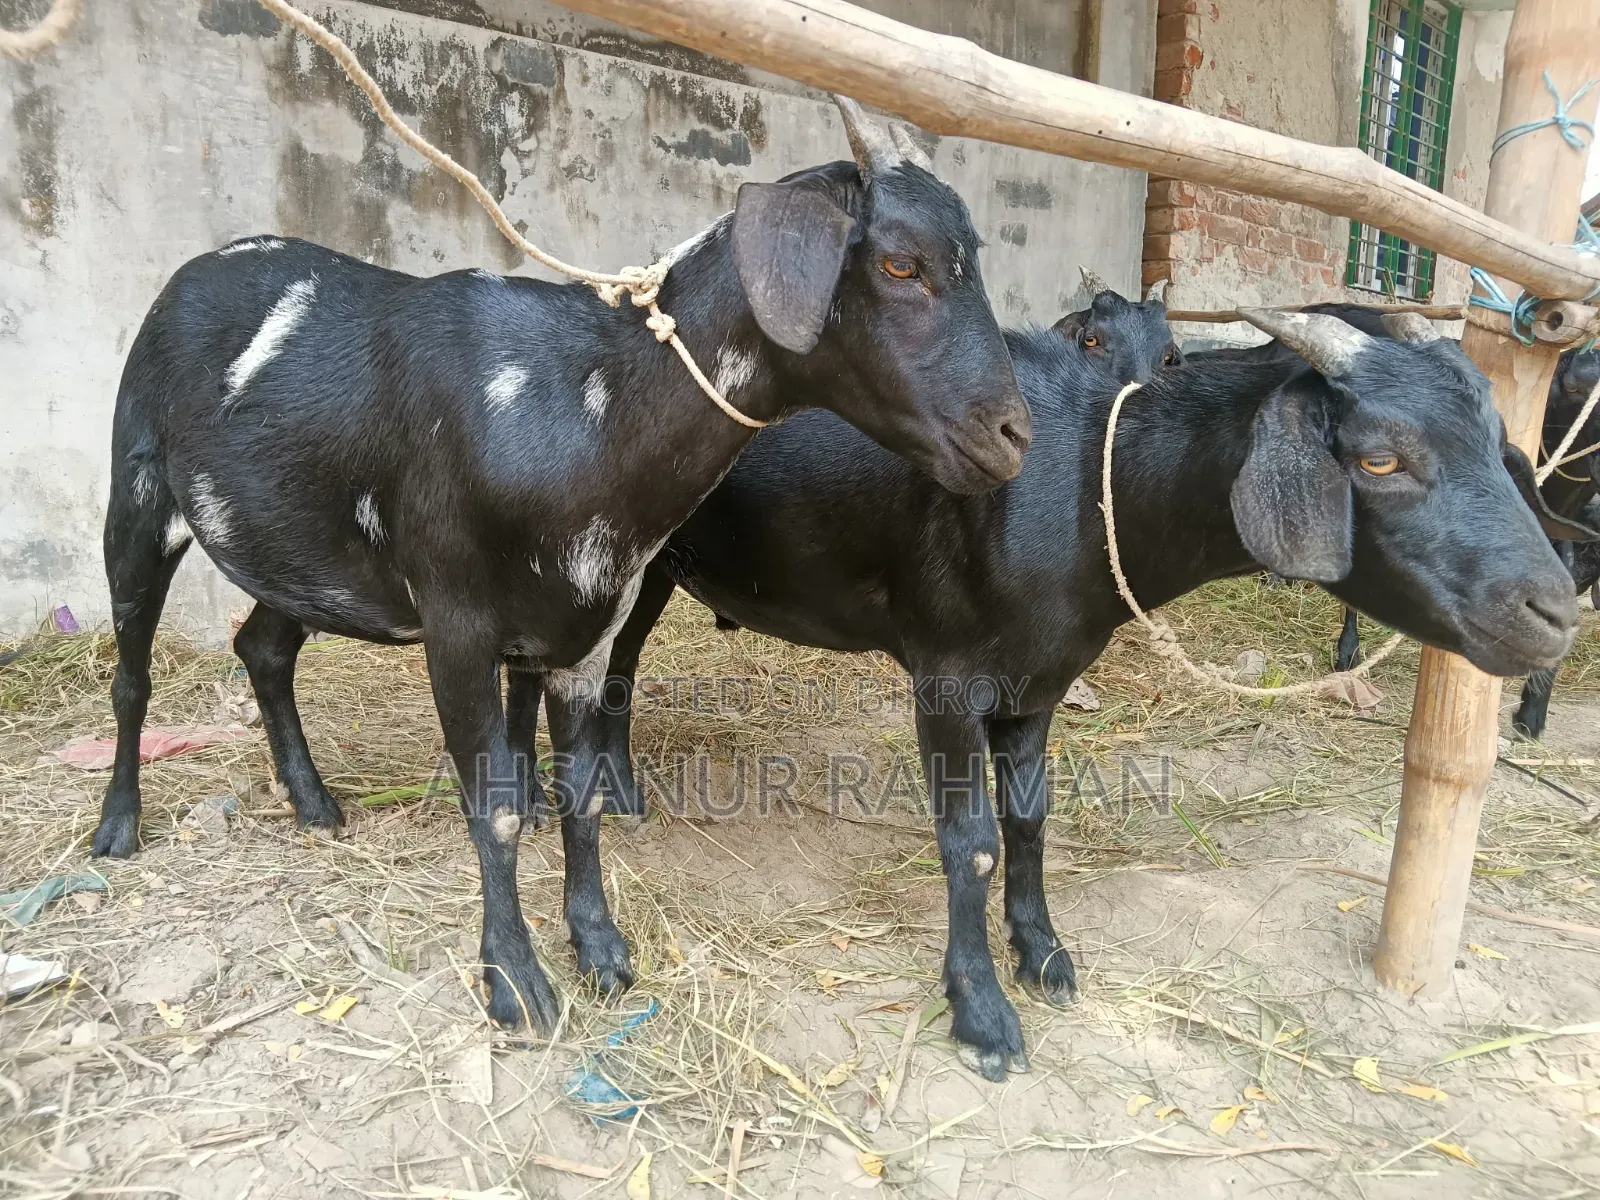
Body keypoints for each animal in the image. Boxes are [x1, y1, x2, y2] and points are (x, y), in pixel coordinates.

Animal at [89, 97, 1032, 1032]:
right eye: (902, 262)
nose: (1012, 435)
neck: (579, 406)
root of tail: (189, 275)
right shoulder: (456, 621)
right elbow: (498, 808)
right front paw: (516, 981)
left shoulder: (589, 627)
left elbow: (582, 795)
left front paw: (601, 949)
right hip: (138, 498)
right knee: (132, 673)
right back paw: (119, 828)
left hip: (301, 549)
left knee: (262, 646)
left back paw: (315, 805)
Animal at [561, 309, 1591, 1079]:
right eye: (1380, 458)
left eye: (1500, 445)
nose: (1552, 610)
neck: (1087, 487)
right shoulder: (946, 675)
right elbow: (971, 842)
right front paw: (981, 1014)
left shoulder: (1038, 681)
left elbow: (1029, 818)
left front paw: (1044, 954)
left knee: (613, 671)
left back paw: (610, 789)